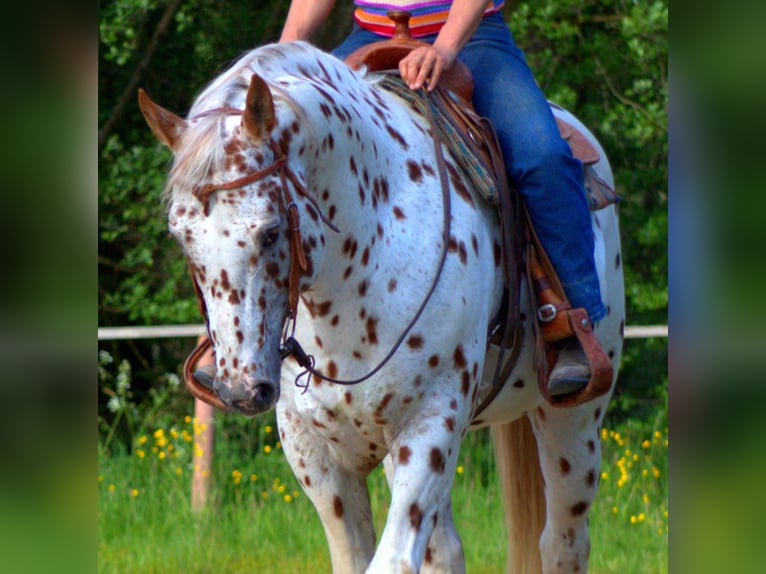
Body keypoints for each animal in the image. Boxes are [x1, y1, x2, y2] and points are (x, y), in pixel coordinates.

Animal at [139, 41, 624, 573]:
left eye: (269, 230)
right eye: (180, 237)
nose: (240, 389)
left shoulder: (431, 425)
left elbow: (392, 560)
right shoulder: (313, 453)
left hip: (574, 420)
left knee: (562, 543)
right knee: (447, 552)